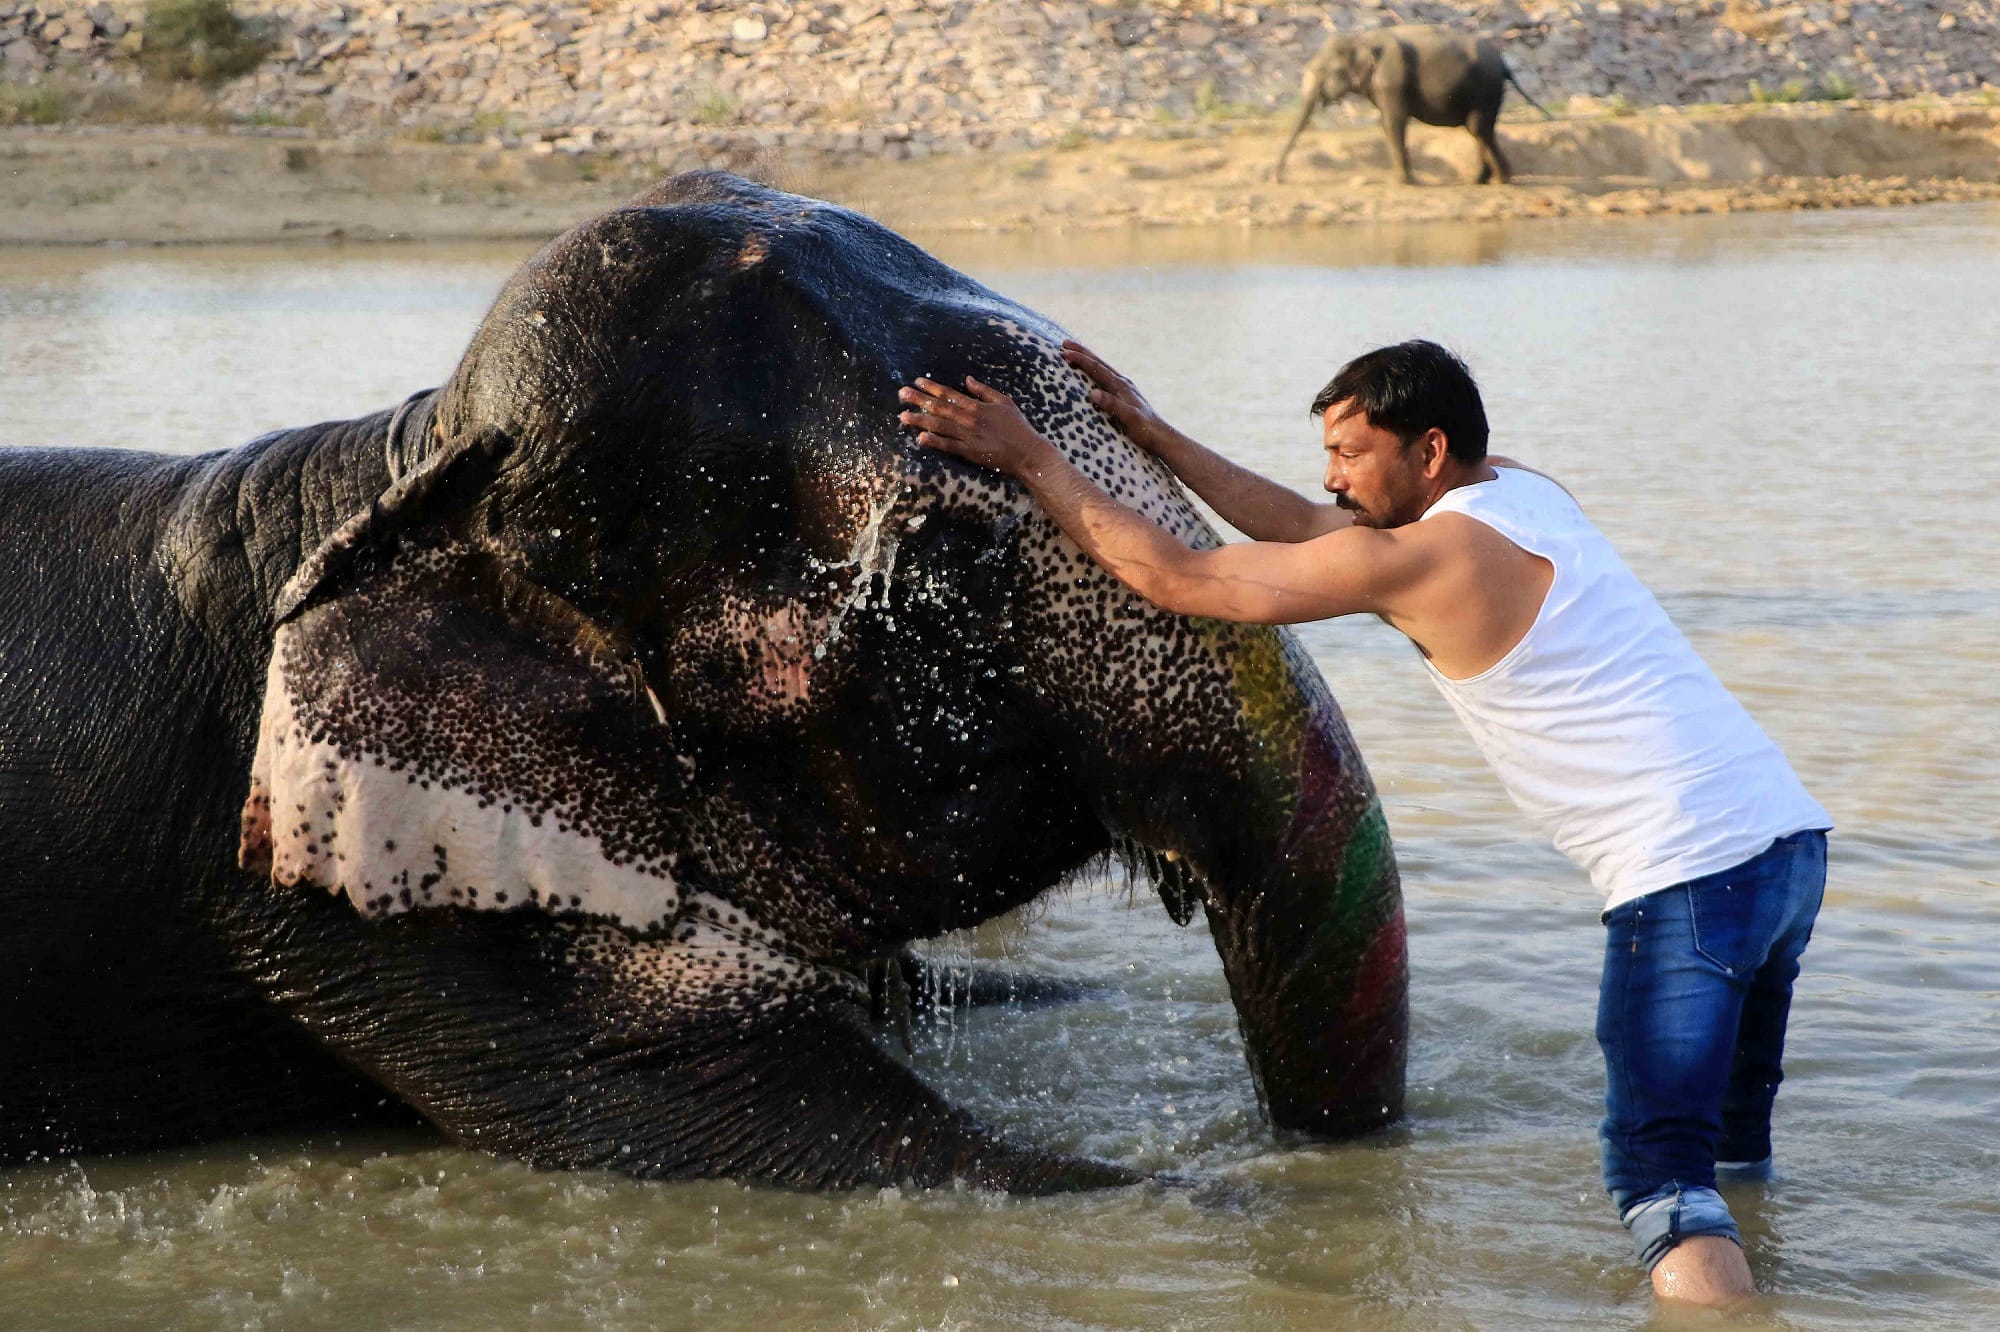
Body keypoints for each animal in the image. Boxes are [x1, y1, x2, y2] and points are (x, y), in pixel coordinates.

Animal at [0, 172, 1407, 1191]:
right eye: (945, 563)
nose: (1309, 1153)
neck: (403, 461)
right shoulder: (368, 903)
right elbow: (757, 1125)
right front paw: (1208, 1202)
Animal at [1273, 24, 1551, 186]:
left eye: (1324, 71)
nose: (1277, 179)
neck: (1361, 39)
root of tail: (1504, 64)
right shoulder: (1380, 85)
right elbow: (1386, 123)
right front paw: (1405, 179)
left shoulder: (1391, 78)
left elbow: (1394, 121)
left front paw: (1402, 182)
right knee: (1480, 129)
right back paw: (1480, 181)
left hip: (1486, 89)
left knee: (1477, 127)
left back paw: (1502, 180)